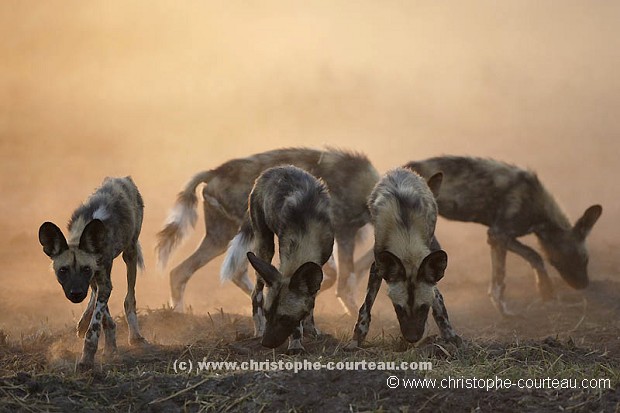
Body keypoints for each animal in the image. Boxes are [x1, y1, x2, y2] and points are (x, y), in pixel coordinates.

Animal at [38, 175, 147, 368]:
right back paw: (83, 323)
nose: (76, 294)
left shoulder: (102, 281)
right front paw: (110, 347)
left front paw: (87, 359)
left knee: (129, 298)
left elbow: (95, 325)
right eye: (63, 270)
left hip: (130, 253)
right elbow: (104, 317)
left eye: (85, 269)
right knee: (95, 295)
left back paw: (135, 336)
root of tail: (122, 178)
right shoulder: (98, 279)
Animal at [155, 149, 378, 316]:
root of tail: (215, 172)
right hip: (249, 234)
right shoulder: (344, 233)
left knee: (182, 272)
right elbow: (344, 281)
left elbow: (334, 275)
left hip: (221, 238)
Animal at [219, 164, 332, 350]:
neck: (307, 229)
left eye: (284, 318)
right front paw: (295, 344)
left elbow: (311, 304)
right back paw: (258, 329)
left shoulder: (318, 267)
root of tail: (273, 169)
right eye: (267, 313)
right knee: (256, 292)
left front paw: (311, 330)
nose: (265, 343)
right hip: (264, 248)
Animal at [348, 167, 460, 348]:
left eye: (424, 308)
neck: (405, 233)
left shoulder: (427, 269)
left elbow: (438, 303)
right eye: (398, 308)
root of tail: (402, 170)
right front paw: (357, 338)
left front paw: (449, 335)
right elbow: (366, 306)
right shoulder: (377, 267)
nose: (412, 338)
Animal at [404, 157, 604, 316]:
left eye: (585, 260)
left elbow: (533, 257)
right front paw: (505, 311)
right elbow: (502, 277)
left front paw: (545, 290)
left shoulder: (499, 237)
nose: (584, 284)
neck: (541, 212)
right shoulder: (499, 234)